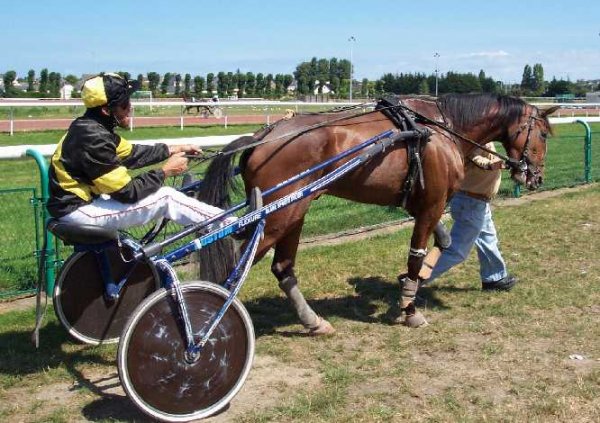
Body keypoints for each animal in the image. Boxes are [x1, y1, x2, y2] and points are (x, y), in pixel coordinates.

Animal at [197, 94, 556, 336]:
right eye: (542, 134)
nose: (537, 177)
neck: (441, 129)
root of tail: (263, 136)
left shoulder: (422, 204)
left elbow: (443, 241)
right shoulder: (430, 205)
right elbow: (416, 256)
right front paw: (409, 309)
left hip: (294, 213)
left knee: (283, 269)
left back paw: (313, 322)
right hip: (277, 218)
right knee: (234, 271)